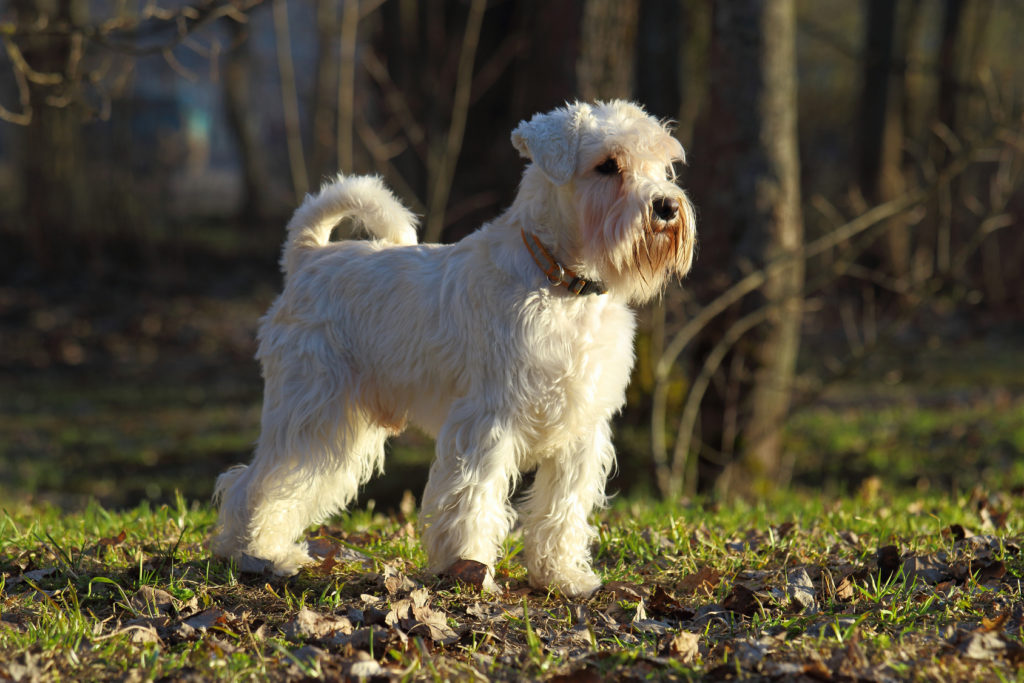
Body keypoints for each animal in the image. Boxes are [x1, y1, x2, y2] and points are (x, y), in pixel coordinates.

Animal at [214, 98, 696, 593]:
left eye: (664, 166)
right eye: (607, 165)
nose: (665, 206)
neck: (563, 283)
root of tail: (308, 256)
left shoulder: (581, 428)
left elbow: (561, 509)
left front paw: (560, 575)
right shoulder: (489, 419)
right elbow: (473, 496)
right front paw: (470, 569)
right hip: (312, 414)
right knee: (255, 482)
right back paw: (256, 554)